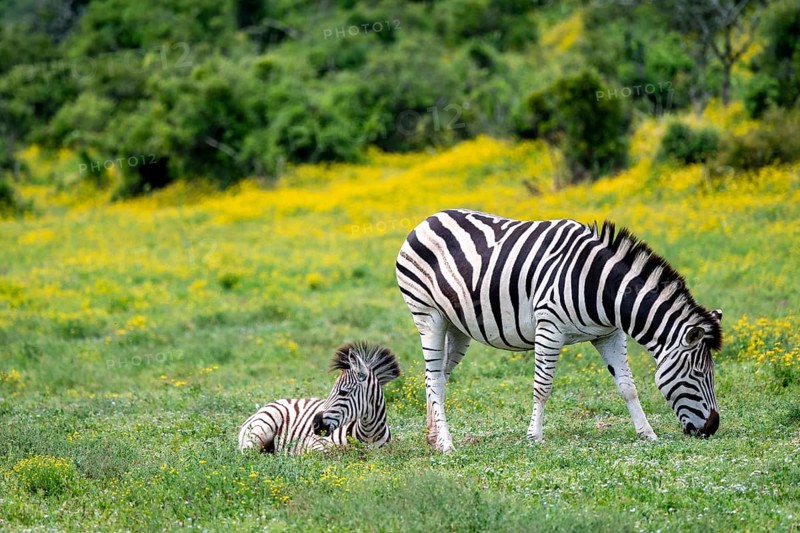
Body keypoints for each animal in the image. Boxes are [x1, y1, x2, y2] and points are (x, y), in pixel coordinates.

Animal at [396, 209, 722, 452]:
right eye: (698, 374)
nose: (712, 428)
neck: (602, 287)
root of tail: (428, 219)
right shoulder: (549, 327)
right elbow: (542, 387)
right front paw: (534, 437)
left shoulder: (609, 334)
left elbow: (628, 386)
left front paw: (647, 433)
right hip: (429, 316)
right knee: (434, 377)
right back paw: (447, 444)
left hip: (457, 326)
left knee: (436, 377)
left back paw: (433, 438)